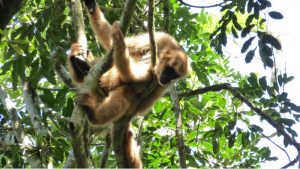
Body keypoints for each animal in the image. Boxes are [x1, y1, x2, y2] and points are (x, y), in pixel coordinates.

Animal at [67, 0, 190, 167]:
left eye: (174, 76)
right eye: (170, 71)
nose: (166, 80)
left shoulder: (160, 84)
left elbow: (140, 91)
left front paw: (119, 42)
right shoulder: (161, 38)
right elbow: (114, 43)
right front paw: (92, 7)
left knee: (128, 91)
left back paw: (94, 114)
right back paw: (80, 68)